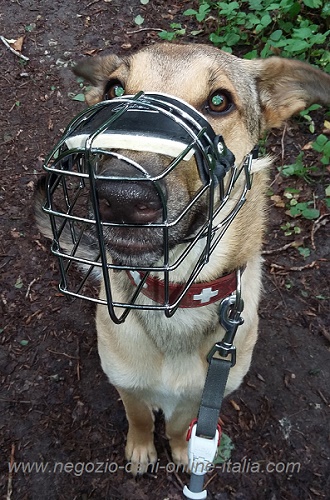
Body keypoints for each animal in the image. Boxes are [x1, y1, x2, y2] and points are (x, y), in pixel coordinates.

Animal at [34, 42, 328, 472]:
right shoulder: (126, 382)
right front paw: (142, 449)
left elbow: (178, 424)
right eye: (114, 89)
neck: (174, 297)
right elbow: (139, 415)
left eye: (219, 101)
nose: (121, 198)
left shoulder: (201, 394)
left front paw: (180, 449)